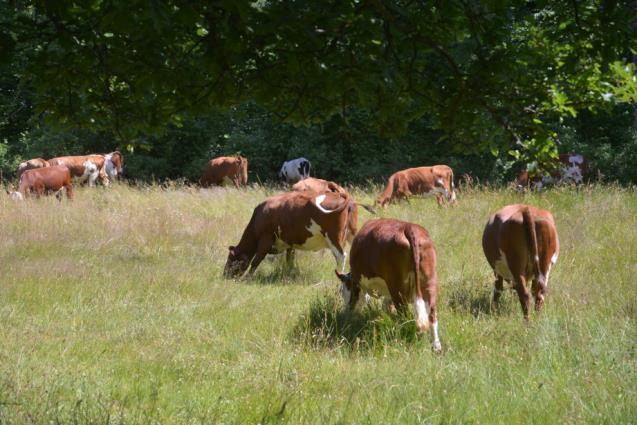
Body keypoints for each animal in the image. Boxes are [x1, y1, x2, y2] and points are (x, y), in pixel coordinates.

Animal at [222, 190, 352, 278]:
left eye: (231, 259)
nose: (225, 276)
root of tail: (340, 196)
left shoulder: (265, 239)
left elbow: (256, 260)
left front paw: (247, 279)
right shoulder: (290, 243)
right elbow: (289, 260)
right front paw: (289, 274)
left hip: (333, 237)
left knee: (341, 256)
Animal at [332, 219, 442, 352]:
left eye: (344, 292)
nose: (347, 313)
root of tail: (409, 227)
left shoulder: (361, 284)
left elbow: (362, 301)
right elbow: (387, 305)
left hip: (398, 290)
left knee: (404, 315)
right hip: (429, 282)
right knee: (432, 314)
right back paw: (436, 346)